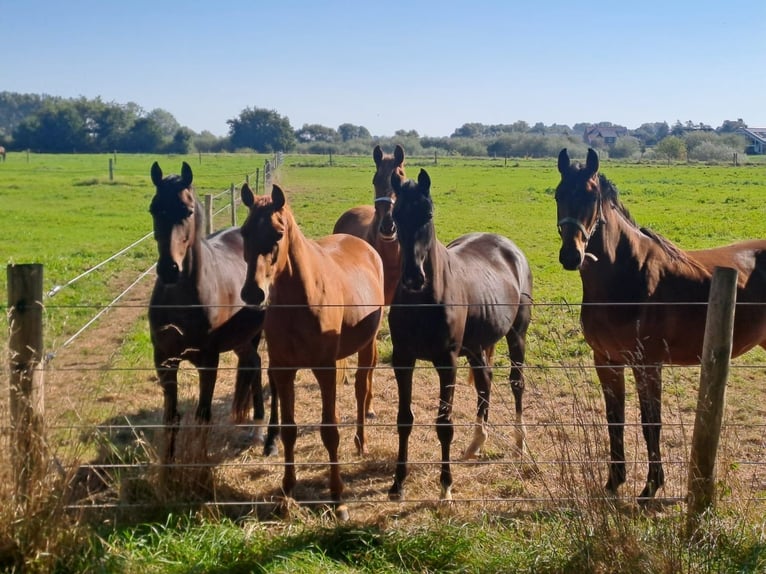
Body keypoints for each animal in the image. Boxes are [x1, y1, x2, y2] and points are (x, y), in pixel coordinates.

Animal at [147, 160, 276, 466]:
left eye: (188, 211)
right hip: (241, 340)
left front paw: (200, 466)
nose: (169, 269)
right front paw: (167, 469)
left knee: (257, 367)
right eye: (154, 209)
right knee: (252, 364)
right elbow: (171, 418)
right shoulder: (164, 361)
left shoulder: (208, 360)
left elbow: (203, 416)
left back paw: (258, 429)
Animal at [240, 181, 384, 520]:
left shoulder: (325, 369)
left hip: (367, 345)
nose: (253, 292)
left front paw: (338, 499)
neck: (300, 300)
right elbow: (289, 430)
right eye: (243, 232)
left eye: (278, 233)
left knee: (362, 387)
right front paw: (286, 494)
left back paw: (361, 443)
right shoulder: (283, 371)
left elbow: (330, 431)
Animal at [390, 168, 536, 504]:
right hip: (476, 345)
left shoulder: (447, 362)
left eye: (428, 213)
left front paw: (446, 489)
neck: (423, 301)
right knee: (485, 381)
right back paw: (476, 443)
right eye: (395, 214)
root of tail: (510, 248)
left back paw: (519, 443)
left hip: (516, 335)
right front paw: (398, 484)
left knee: (516, 382)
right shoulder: (402, 359)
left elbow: (444, 425)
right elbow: (404, 419)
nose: (413, 278)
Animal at [556, 147, 766, 500]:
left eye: (592, 196)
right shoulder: (607, 361)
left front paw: (651, 487)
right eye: (558, 194)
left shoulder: (648, 364)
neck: (627, 275)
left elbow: (650, 423)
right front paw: (613, 482)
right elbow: (615, 420)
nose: (571, 256)